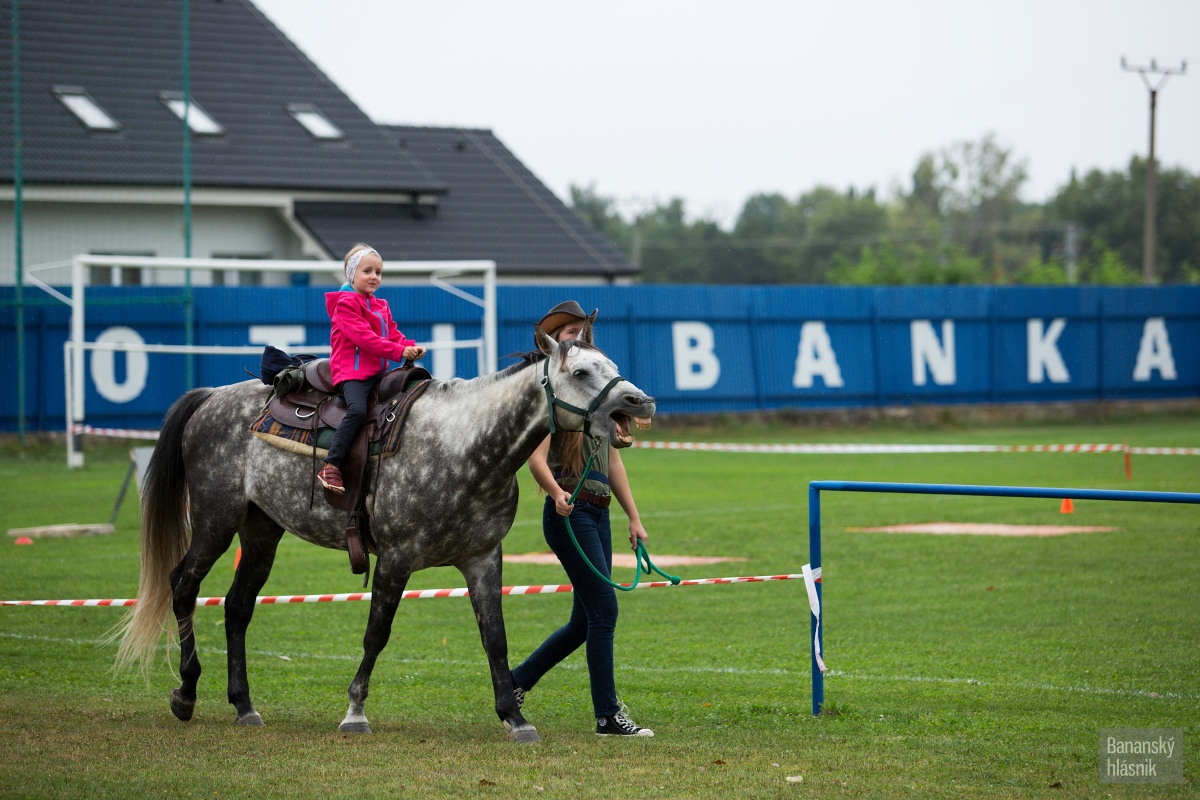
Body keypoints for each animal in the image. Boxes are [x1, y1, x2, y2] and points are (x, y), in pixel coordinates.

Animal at [113, 323, 656, 743]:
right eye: (581, 372)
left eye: (609, 364)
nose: (642, 400)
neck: (464, 446)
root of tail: (211, 398)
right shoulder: (396, 558)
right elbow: (377, 633)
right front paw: (355, 712)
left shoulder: (482, 558)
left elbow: (495, 638)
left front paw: (514, 716)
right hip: (214, 522)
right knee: (183, 586)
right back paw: (186, 693)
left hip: (261, 531)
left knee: (237, 607)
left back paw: (244, 705)